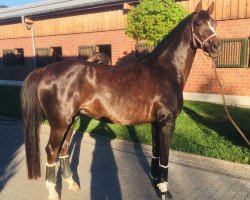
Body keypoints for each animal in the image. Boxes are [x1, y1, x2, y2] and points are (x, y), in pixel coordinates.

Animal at [21, 1, 221, 200]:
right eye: (198, 24)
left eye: (214, 23)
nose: (216, 46)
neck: (165, 70)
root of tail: (46, 70)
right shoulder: (167, 122)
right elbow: (164, 157)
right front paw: (164, 191)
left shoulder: (156, 123)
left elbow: (156, 152)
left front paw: (156, 182)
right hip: (59, 123)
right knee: (51, 150)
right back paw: (53, 192)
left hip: (71, 120)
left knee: (64, 148)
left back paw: (71, 183)